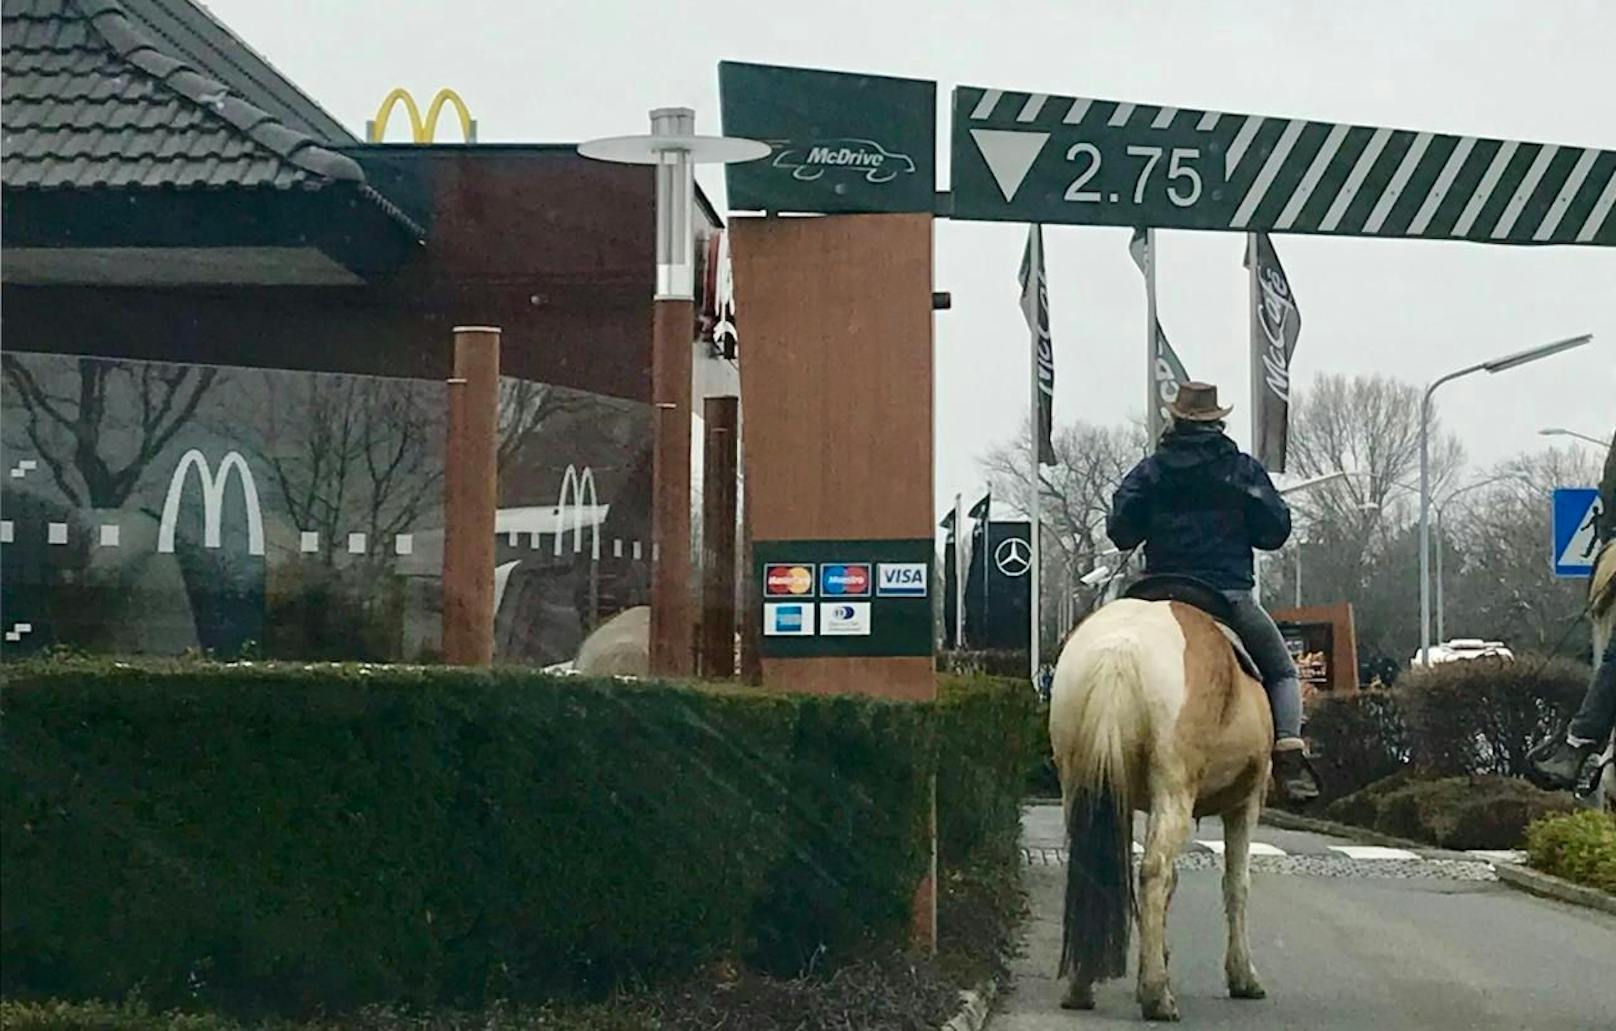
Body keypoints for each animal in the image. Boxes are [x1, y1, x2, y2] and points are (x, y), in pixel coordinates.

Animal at [1047, 597, 1273, 1027]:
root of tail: (1121, 648)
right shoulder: (1245, 804)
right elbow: (1237, 885)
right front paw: (1244, 976)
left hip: (1081, 785)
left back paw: (1081, 986)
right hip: (1174, 788)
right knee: (1154, 872)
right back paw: (1156, 996)